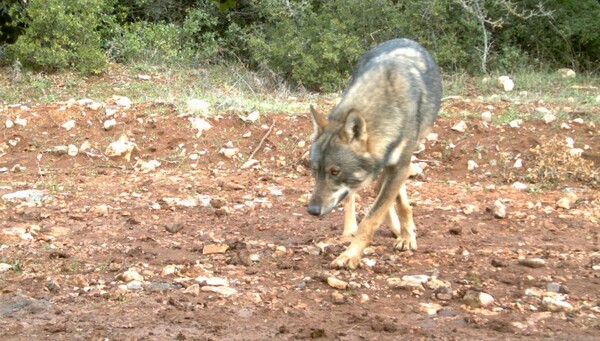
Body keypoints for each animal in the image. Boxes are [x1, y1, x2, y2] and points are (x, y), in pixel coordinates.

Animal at [310, 37, 440, 268]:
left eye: (335, 172)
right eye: (315, 170)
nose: (312, 210)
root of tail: (402, 38)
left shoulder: (400, 165)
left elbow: (374, 216)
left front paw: (351, 255)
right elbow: (378, 205)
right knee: (355, 197)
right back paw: (351, 229)